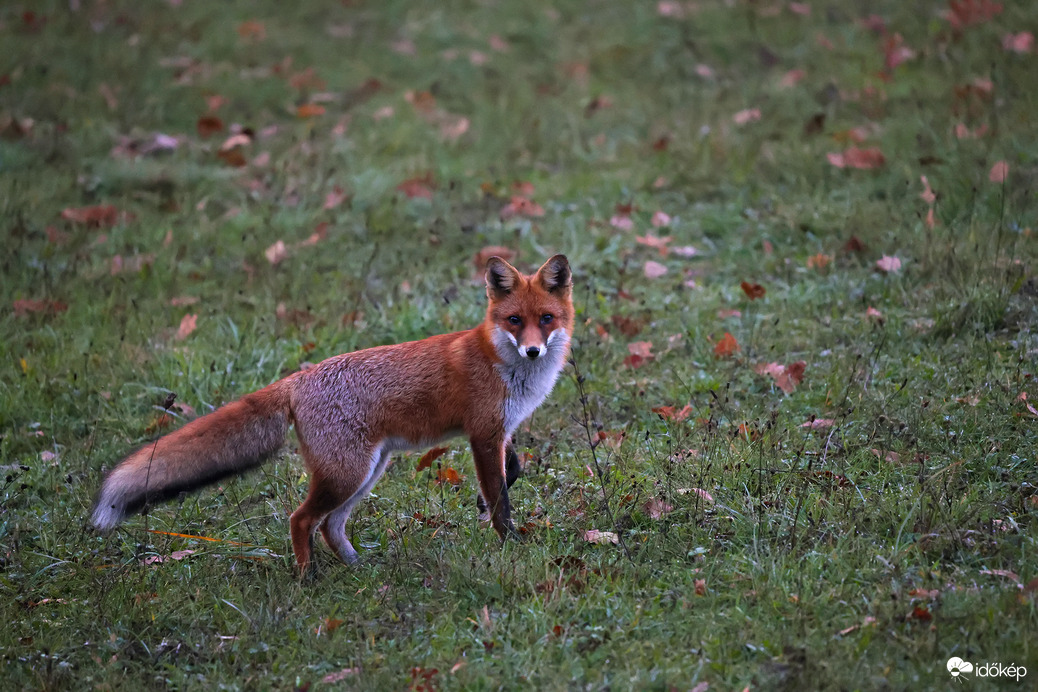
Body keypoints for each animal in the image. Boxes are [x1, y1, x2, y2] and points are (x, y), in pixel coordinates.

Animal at [90, 254, 577, 572]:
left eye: (546, 319)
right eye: (514, 321)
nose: (533, 351)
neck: (506, 366)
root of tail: (297, 380)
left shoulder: (499, 431)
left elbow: (511, 472)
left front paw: (485, 507)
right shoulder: (483, 433)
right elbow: (500, 499)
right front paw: (510, 544)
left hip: (365, 471)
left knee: (331, 525)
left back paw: (357, 566)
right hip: (348, 473)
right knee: (301, 519)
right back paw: (308, 578)